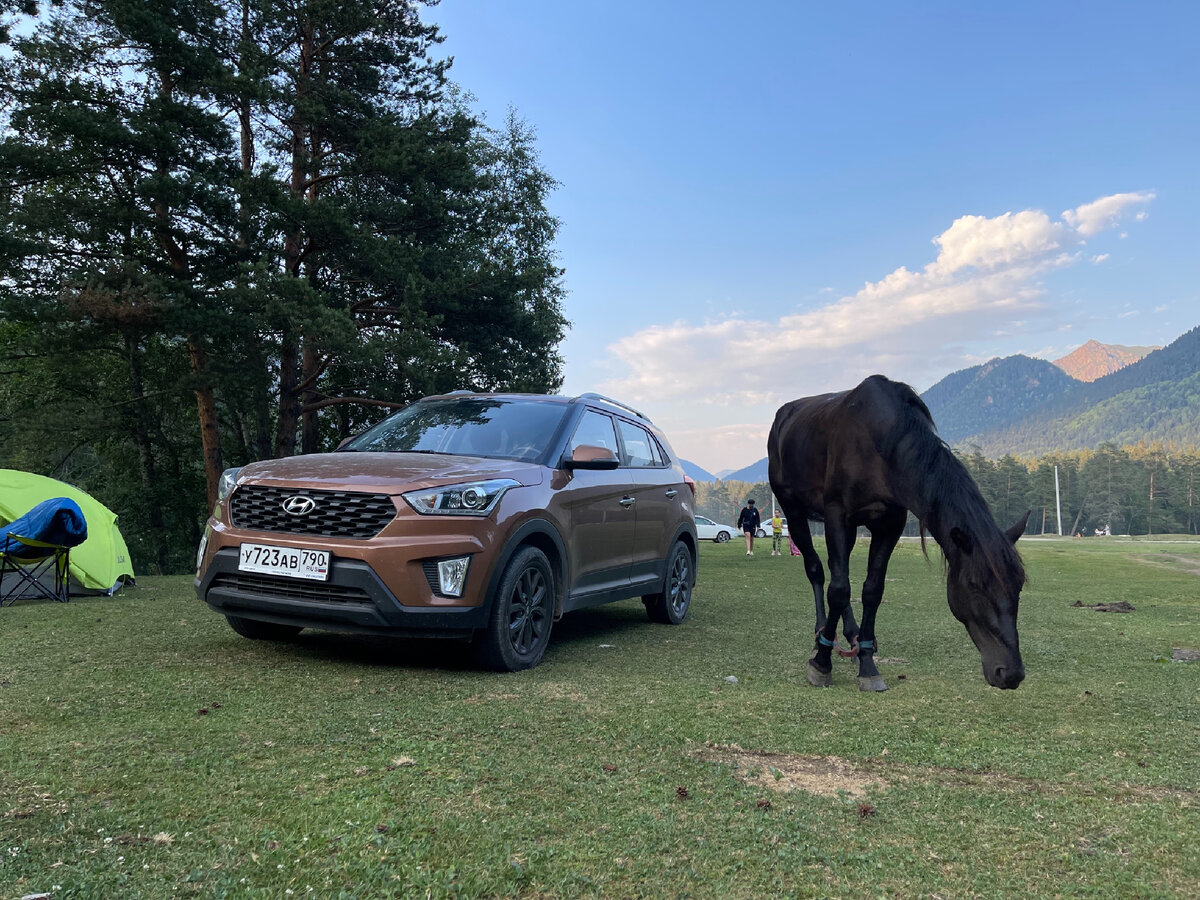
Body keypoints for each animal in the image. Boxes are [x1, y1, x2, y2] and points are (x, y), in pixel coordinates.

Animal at [768, 376, 1032, 696]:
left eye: (1018, 585)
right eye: (973, 585)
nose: (1010, 673)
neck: (882, 444)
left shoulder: (890, 524)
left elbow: (871, 590)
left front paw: (867, 663)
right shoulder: (836, 515)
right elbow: (839, 589)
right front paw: (821, 662)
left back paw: (851, 635)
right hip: (793, 511)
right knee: (818, 571)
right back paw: (820, 636)